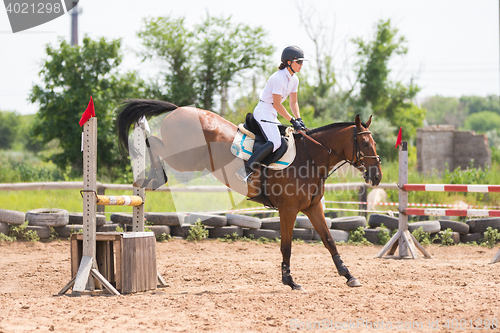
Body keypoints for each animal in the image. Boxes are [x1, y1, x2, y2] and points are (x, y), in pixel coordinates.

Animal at [117, 98, 382, 288]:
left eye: (375, 143)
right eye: (365, 144)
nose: (377, 176)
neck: (311, 158)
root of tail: (178, 109)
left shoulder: (312, 207)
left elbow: (329, 241)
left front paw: (348, 275)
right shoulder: (288, 210)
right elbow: (287, 245)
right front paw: (289, 281)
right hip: (184, 159)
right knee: (153, 141)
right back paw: (151, 170)